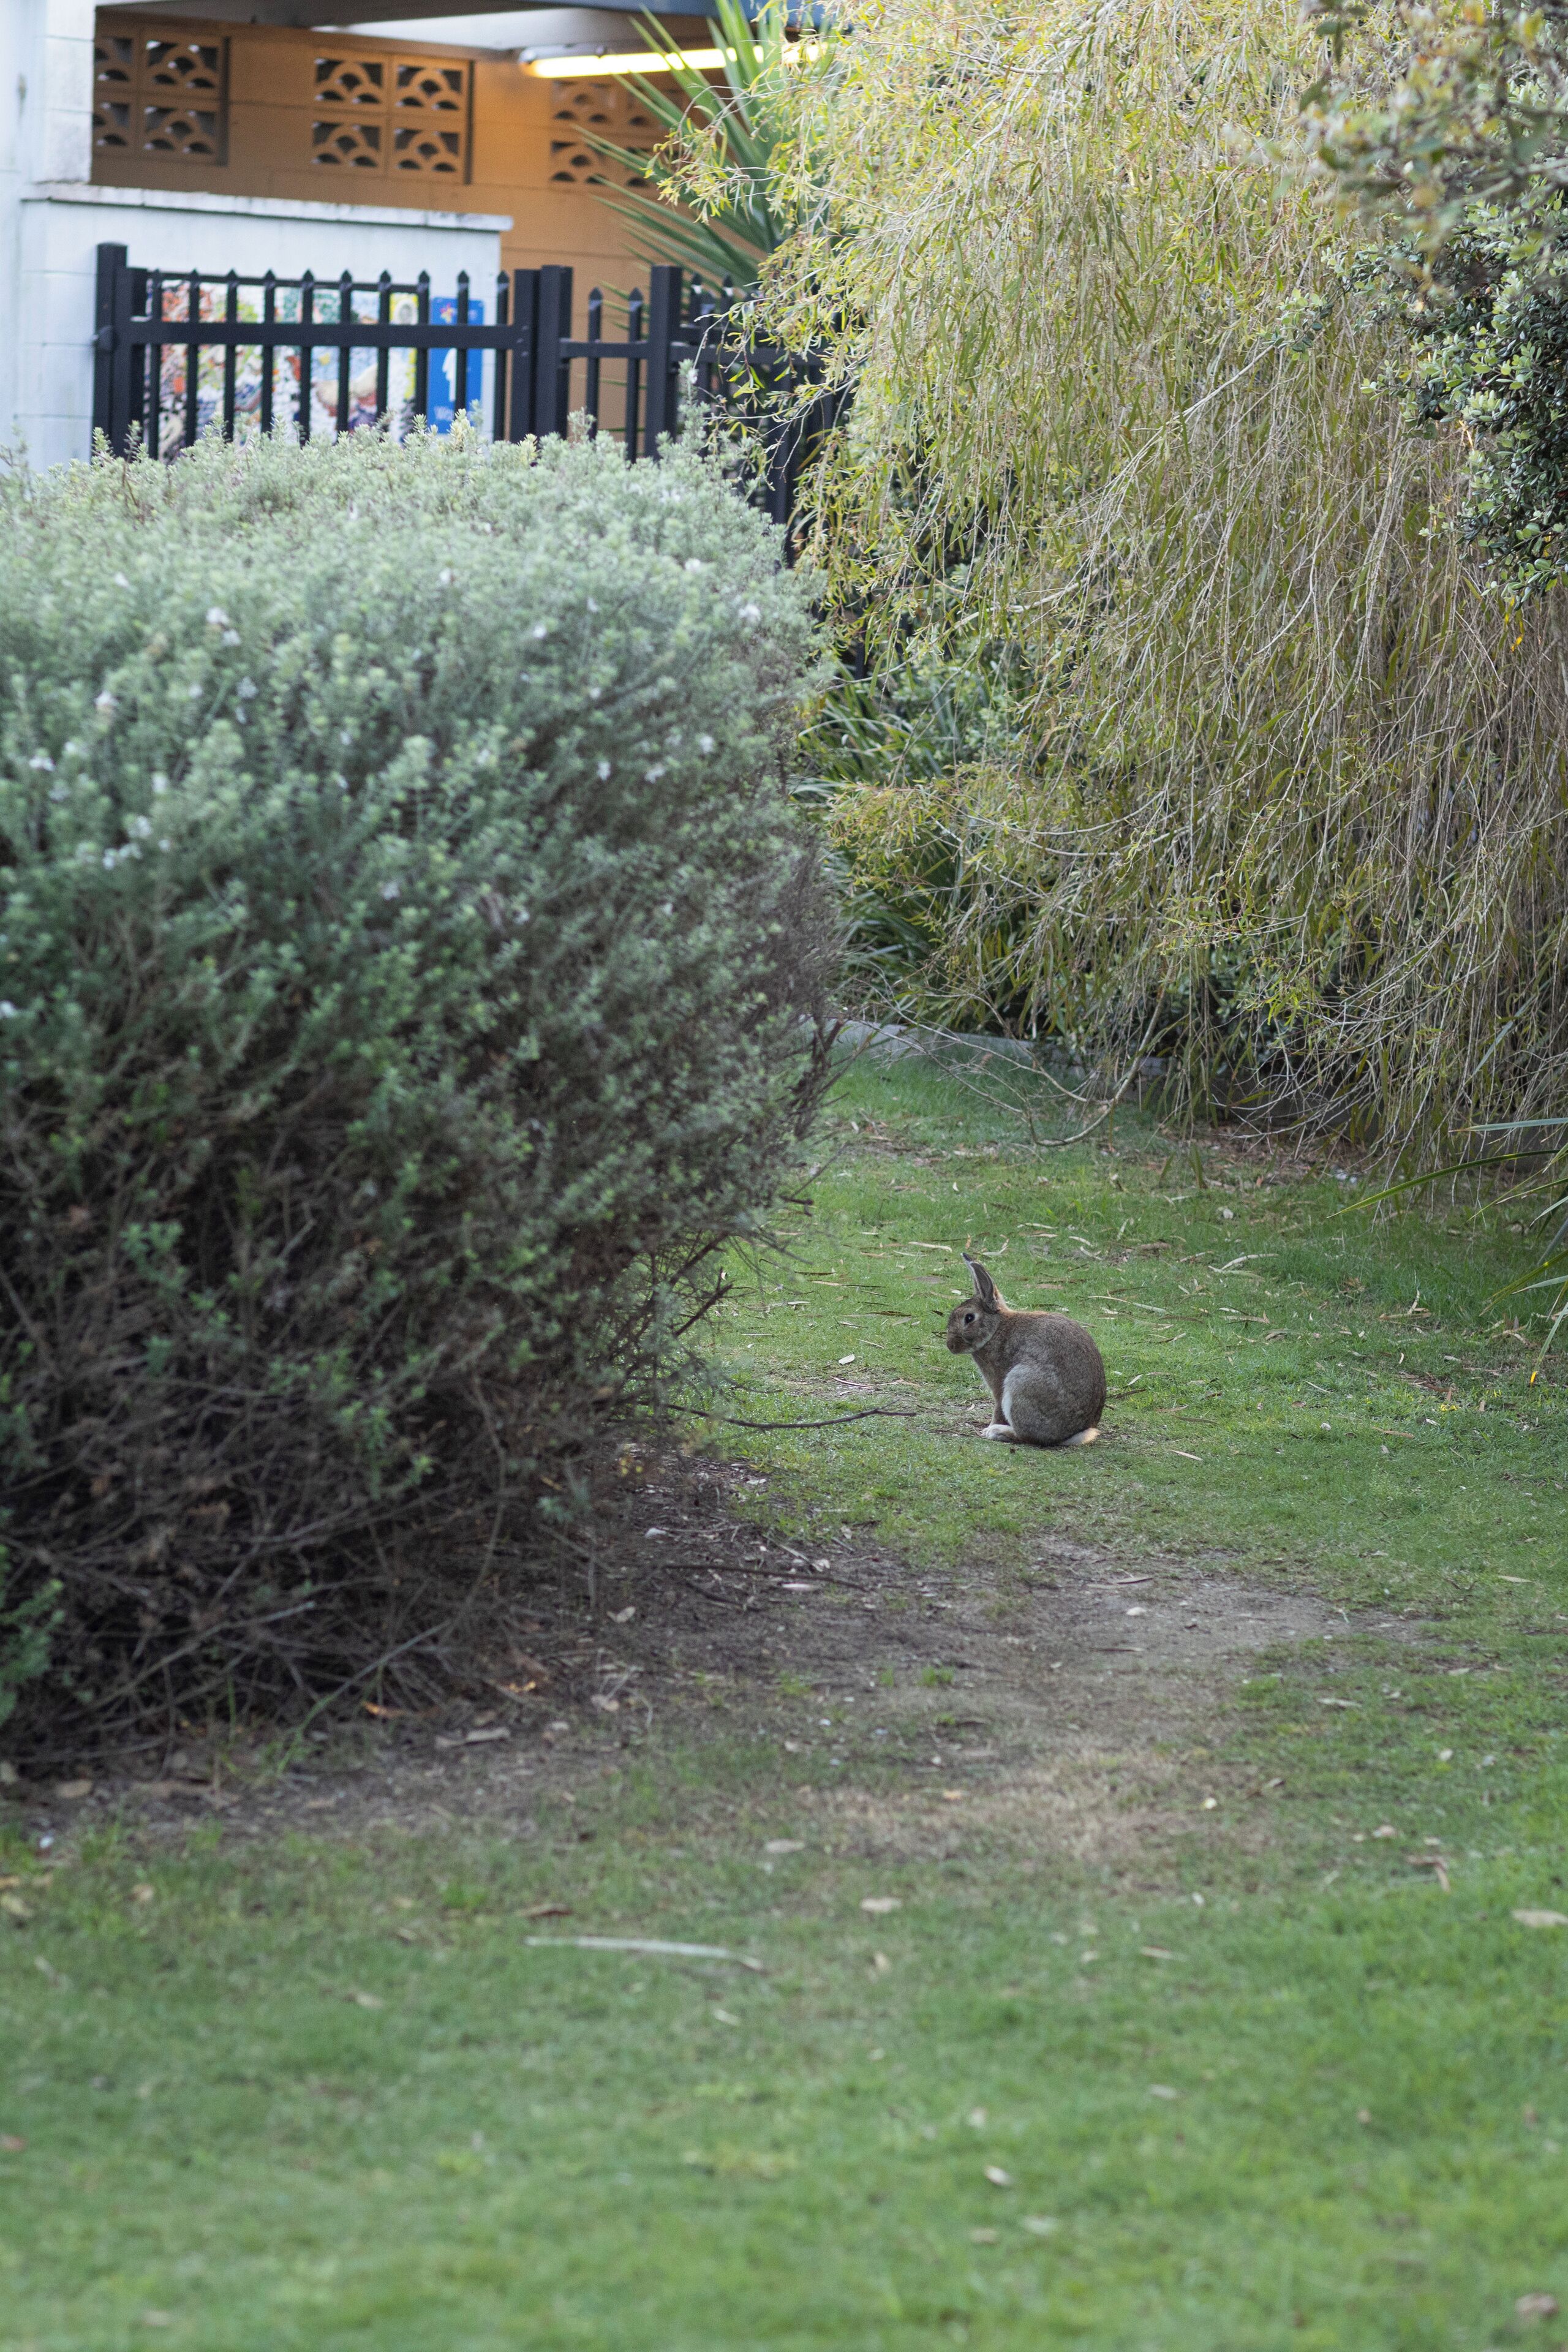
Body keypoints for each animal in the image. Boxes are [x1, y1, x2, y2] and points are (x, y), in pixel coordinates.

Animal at [943, 1255, 1106, 1446]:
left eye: (969, 1318)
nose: (951, 1346)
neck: (996, 1329)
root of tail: (1072, 1434)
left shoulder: (999, 1382)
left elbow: (998, 1407)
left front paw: (987, 1429)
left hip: (1020, 1381)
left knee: (1027, 1436)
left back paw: (997, 1432)